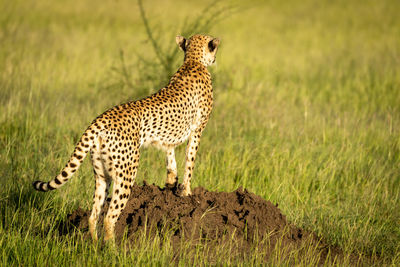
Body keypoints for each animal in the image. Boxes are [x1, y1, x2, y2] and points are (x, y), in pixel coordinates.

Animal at [32, 34, 220, 243]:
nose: (215, 59)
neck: (193, 60)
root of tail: (100, 119)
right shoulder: (197, 131)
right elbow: (190, 161)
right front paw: (186, 192)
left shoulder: (168, 139)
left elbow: (170, 157)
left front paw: (171, 183)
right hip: (127, 172)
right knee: (109, 217)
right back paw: (113, 248)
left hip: (101, 174)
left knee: (94, 214)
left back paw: (95, 245)